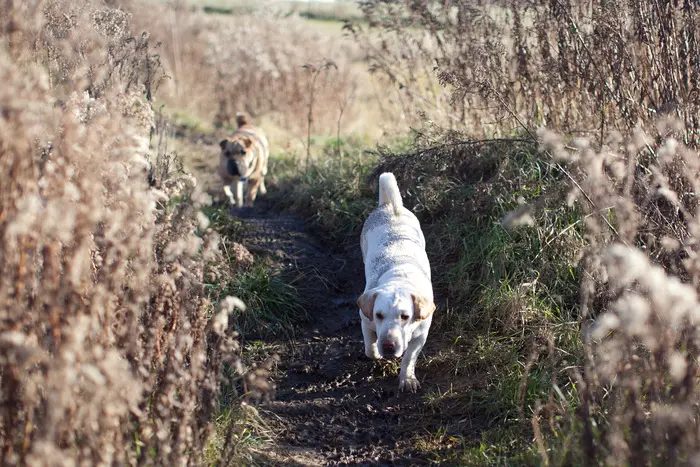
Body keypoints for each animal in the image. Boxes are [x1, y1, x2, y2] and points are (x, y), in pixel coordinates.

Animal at [358, 172, 434, 392]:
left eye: (405, 316)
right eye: (378, 315)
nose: (388, 346)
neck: (399, 278)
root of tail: (390, 206)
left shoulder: (421, 335)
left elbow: (409, 358)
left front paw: (407, 379)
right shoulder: (365, 320)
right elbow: (370, 348)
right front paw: (378, 353)